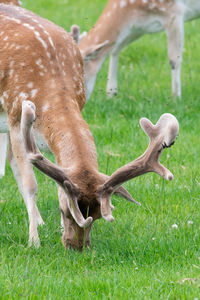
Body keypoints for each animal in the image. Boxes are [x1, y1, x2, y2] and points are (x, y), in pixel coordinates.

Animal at [0, 3, 178, 250]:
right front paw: (33, 241)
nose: (76, 246)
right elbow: (30, 184)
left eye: (99, 215)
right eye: (65, 210)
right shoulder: (16, 118)